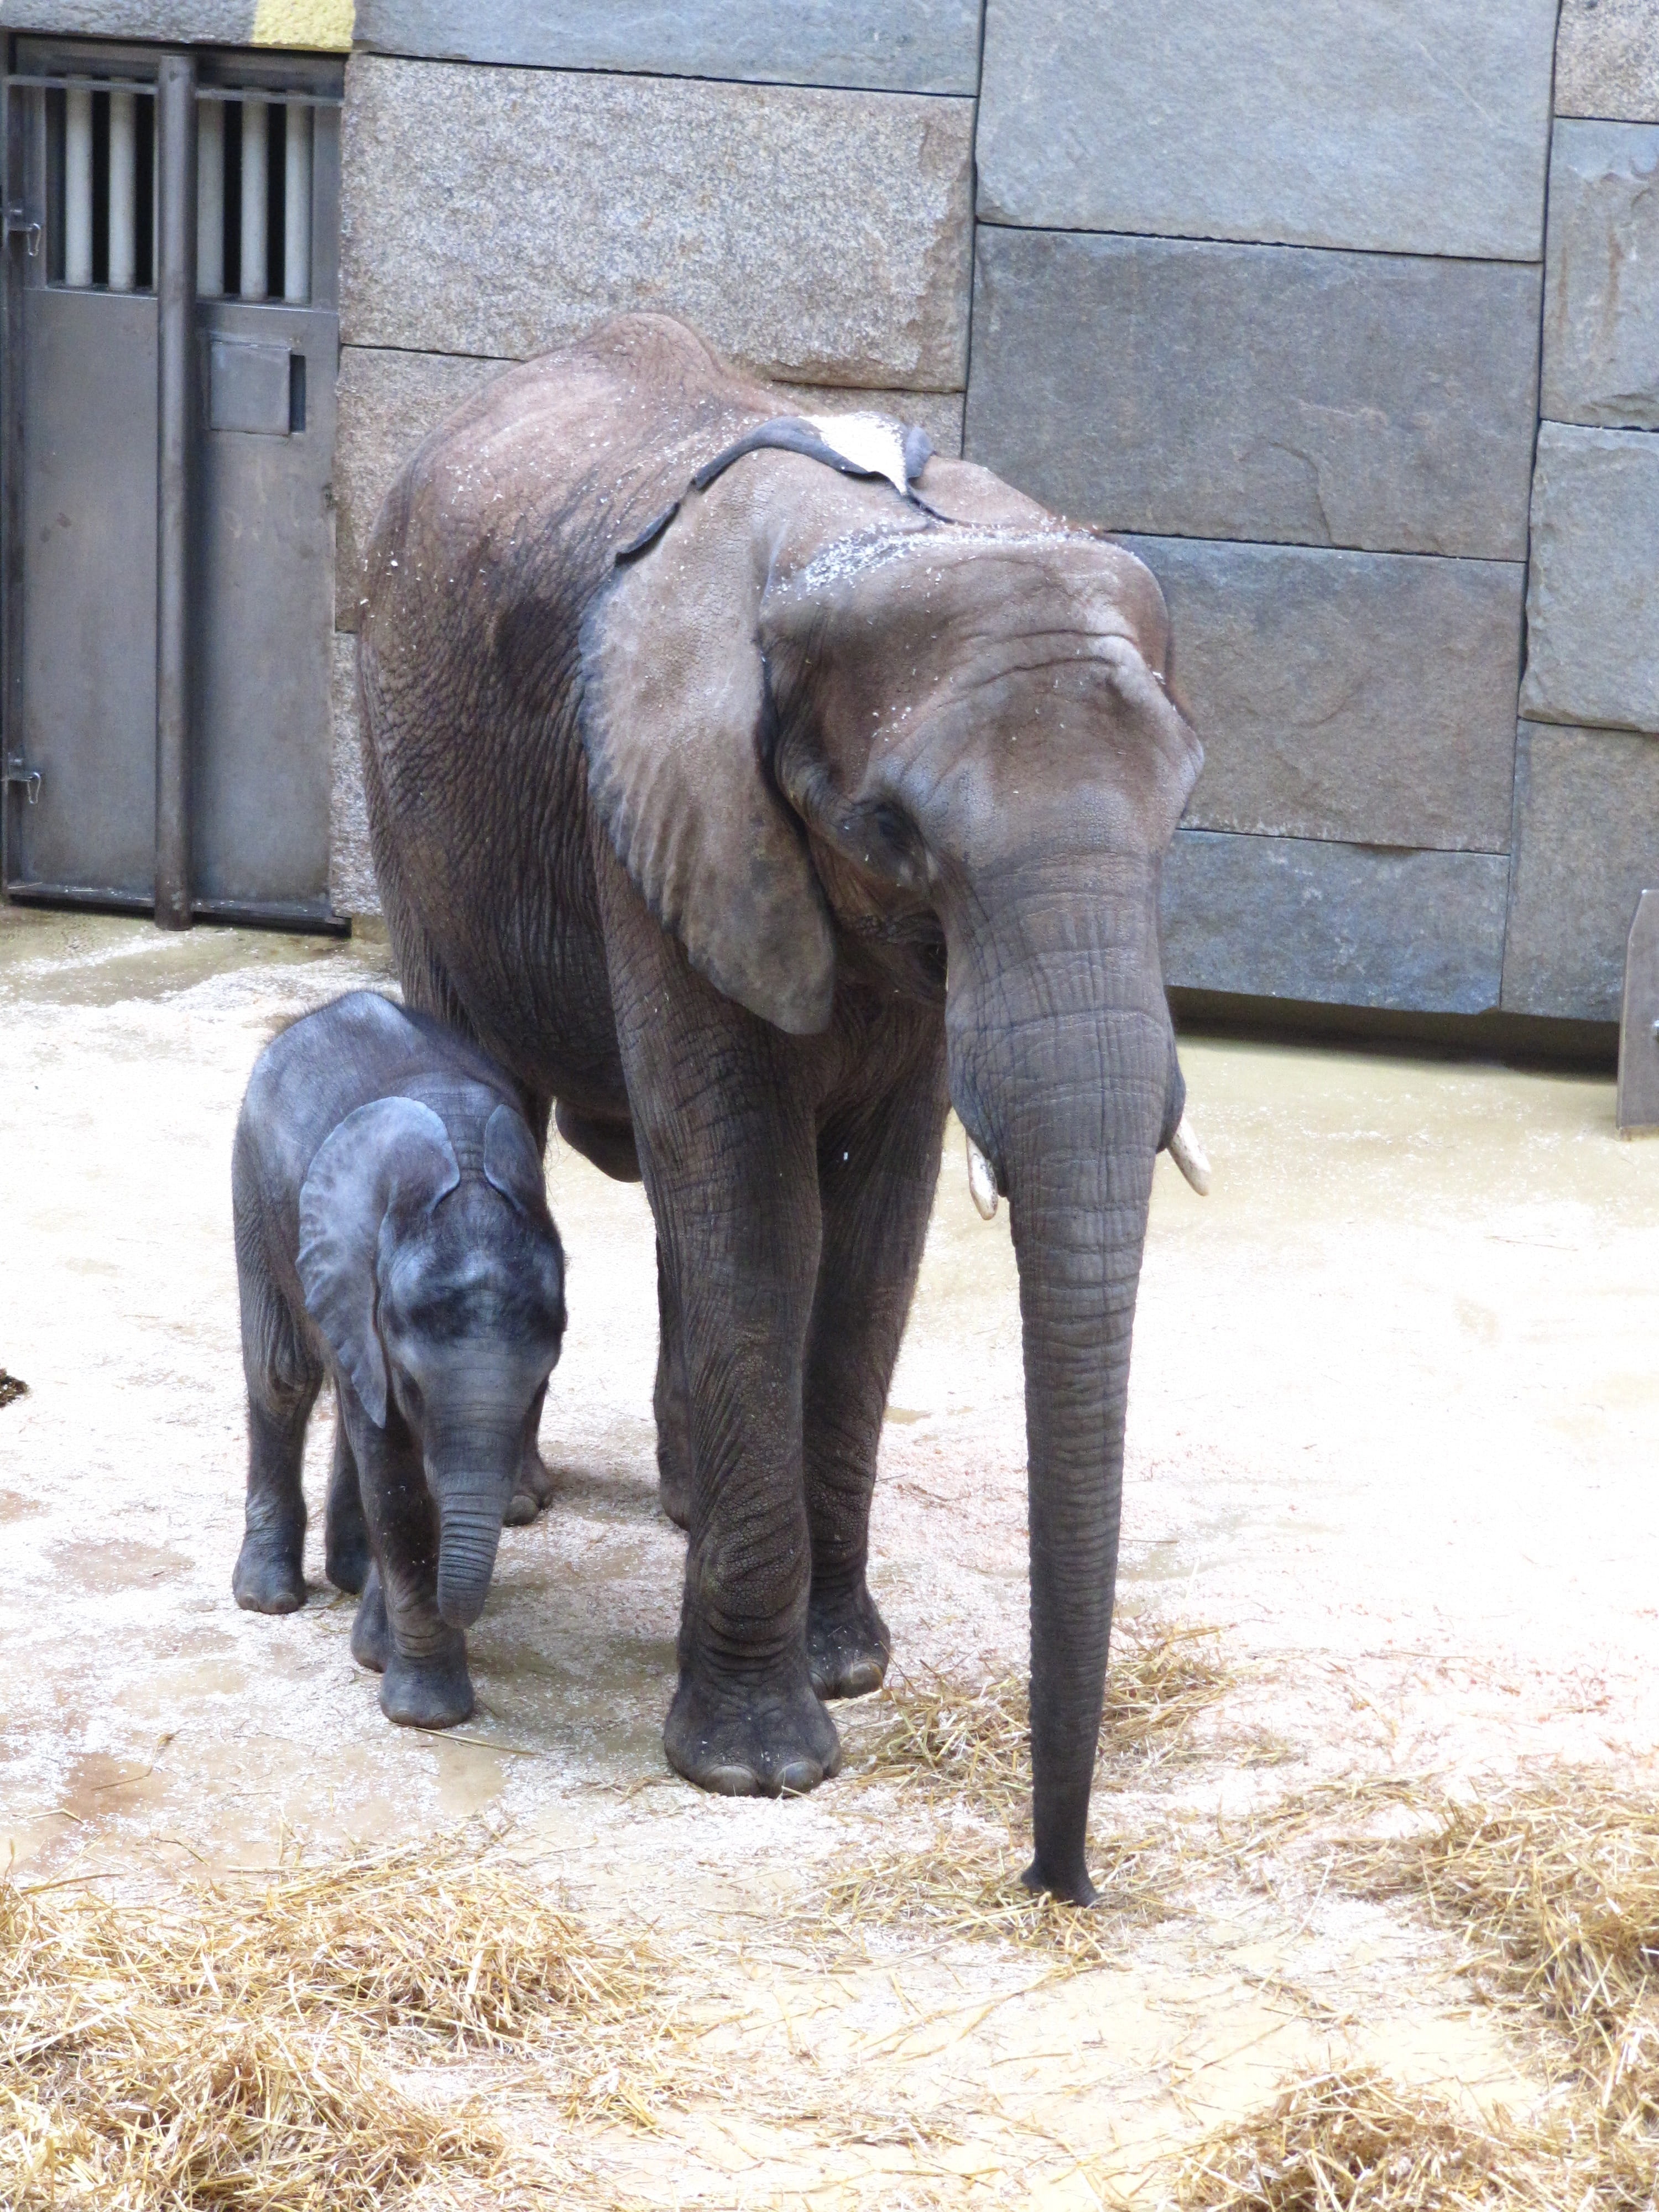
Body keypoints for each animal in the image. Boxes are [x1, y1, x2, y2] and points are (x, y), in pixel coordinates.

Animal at [231, 990, 567, 1728]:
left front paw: (379, 1656)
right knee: (282, 1375)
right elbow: (399, 1480)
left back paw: (355, 1577)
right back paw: (268, 1601)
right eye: (413, 1381)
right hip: (252, 1176)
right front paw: (426, 1715)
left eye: (542, 1384)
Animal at [357, 313, 1205, 1896]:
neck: (879, 537)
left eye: (1180, 816)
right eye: (891, 830)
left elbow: (876, 1229)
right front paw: (759, 1764)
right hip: (404, 772)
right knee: (501, 1097)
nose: (1055, 1879)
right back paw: (522, 1496)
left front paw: (848, 1665)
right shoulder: (665, 819)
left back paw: (685, 1502)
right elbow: (757, 1204)